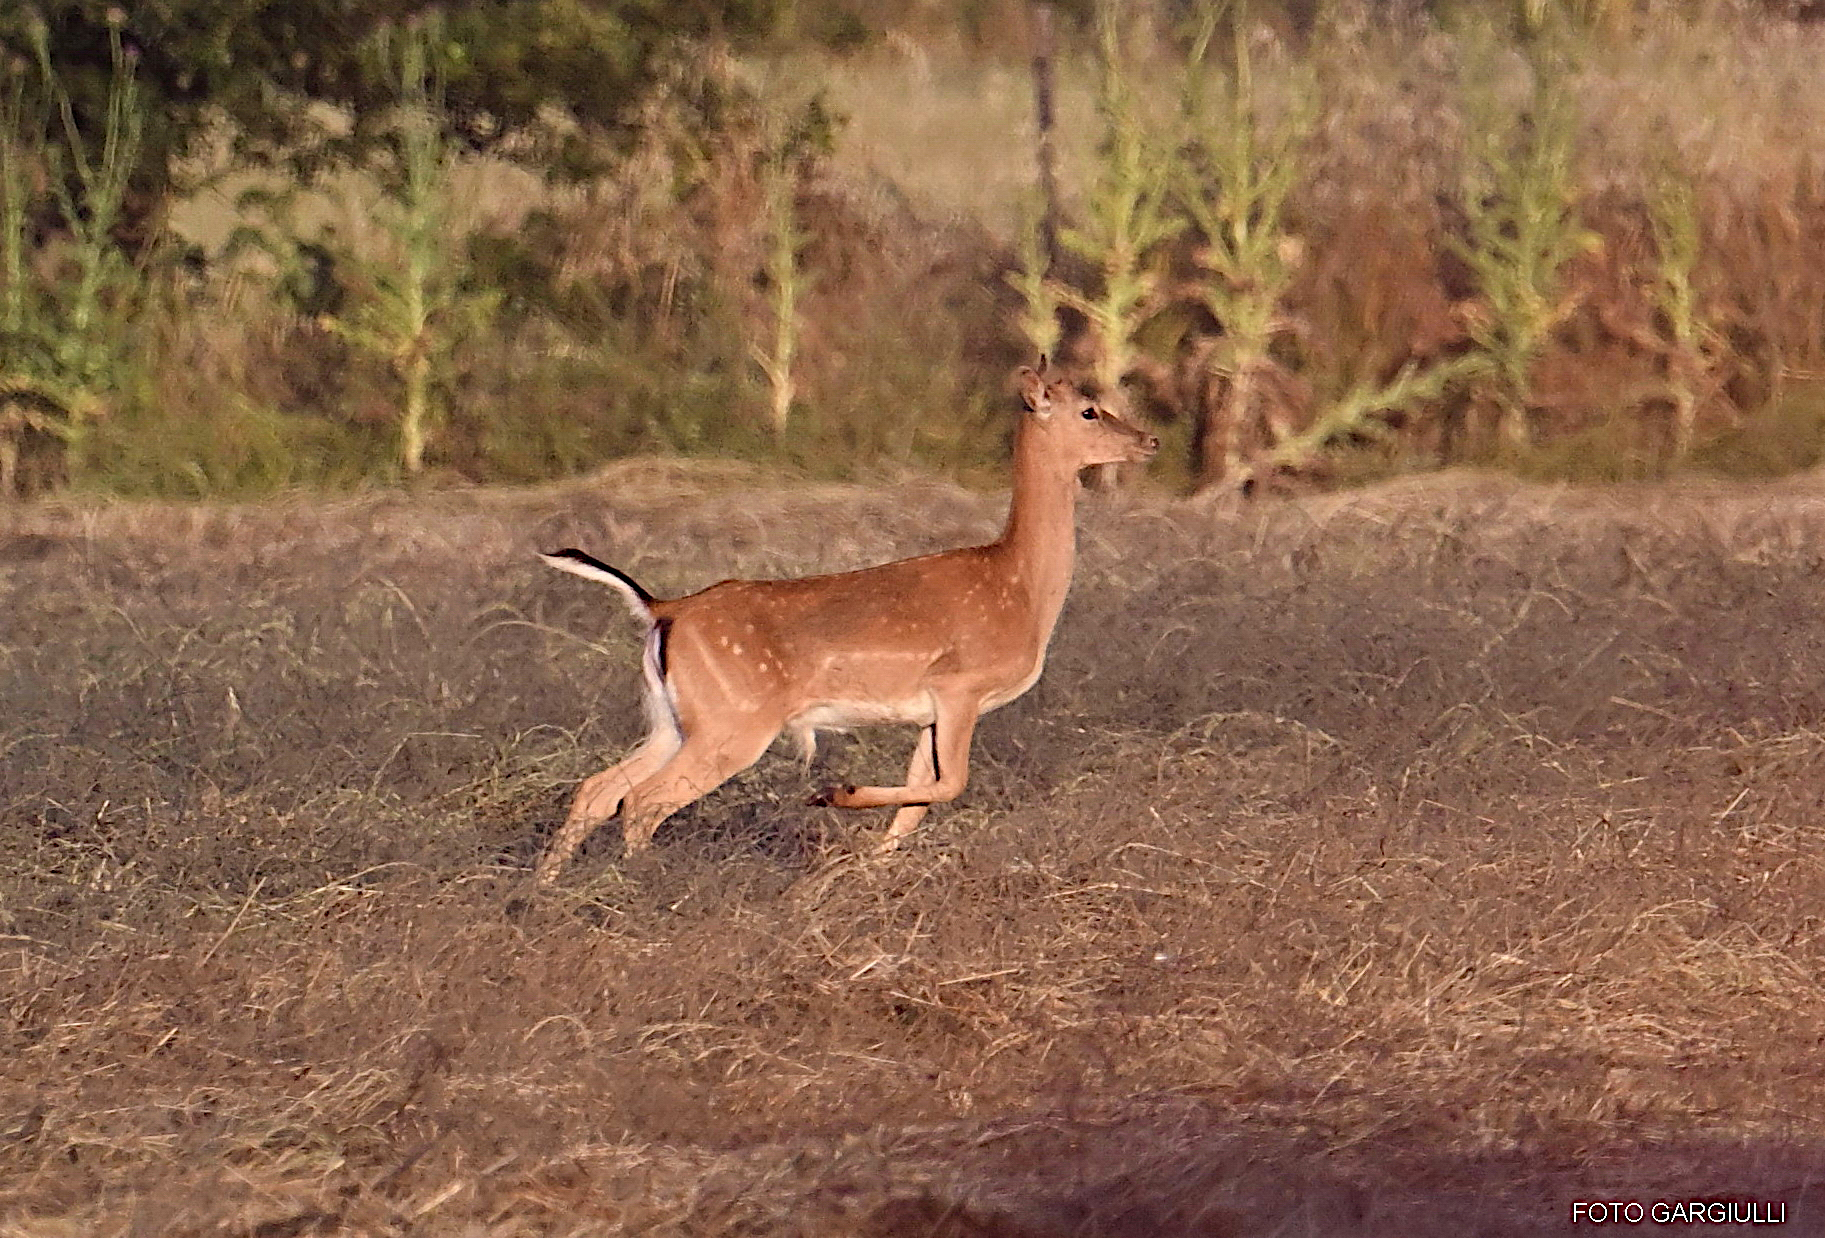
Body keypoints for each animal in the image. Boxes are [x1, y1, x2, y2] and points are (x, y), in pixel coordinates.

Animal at [533, 359, 1158, 885]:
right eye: (1088, 409)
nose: (1150, 440)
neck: (1022, 588)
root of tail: (665, 608)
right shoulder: (959, 684)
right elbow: (949, 784)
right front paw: (833, 796)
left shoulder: (931, 712)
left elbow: (920, 797)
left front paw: (867, 869)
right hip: (732, 721)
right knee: (643, 802)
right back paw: (649, 889)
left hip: (673, 719)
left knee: (597, 791)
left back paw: (544, 894)